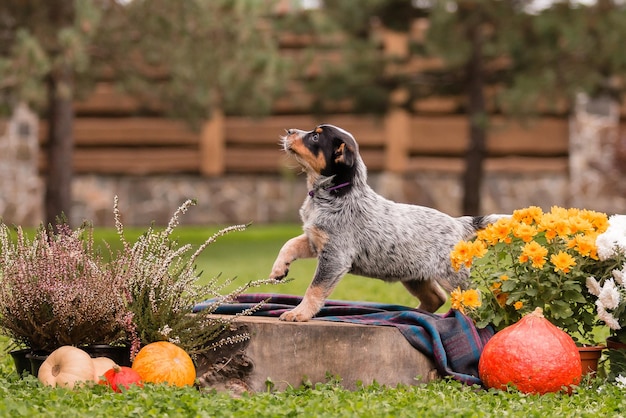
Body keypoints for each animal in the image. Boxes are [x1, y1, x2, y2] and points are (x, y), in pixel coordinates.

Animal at [270, 122, 502, 322]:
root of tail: (457, 223)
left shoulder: (335, 256)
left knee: (474, 300)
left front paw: (299, 313)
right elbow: (289, 244)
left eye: (315, 136)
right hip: (414, 276)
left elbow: (315, 288)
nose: (289, 130)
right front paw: (279, 269)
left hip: (452, 276)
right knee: (436, 298)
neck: (333, 193)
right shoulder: (315, 240)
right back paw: (411, 314)